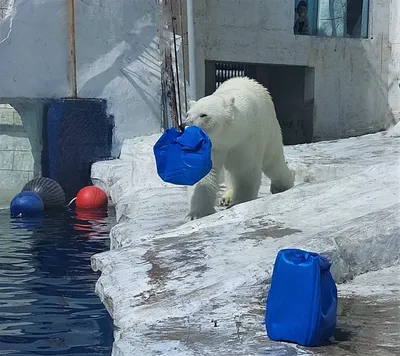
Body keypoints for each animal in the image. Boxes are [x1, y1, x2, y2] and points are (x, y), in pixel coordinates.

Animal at [184, 77, 294, 221]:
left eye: (203, 115)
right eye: (187, 114)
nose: (184, 125)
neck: (228, 137)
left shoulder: (246, 139)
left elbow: (244, 170)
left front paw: (241, 202)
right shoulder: (212, 146)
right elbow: (204, 173)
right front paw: (195, 214)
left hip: (271, 130)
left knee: (273, 162)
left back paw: (282, 185)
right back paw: (227, 197)